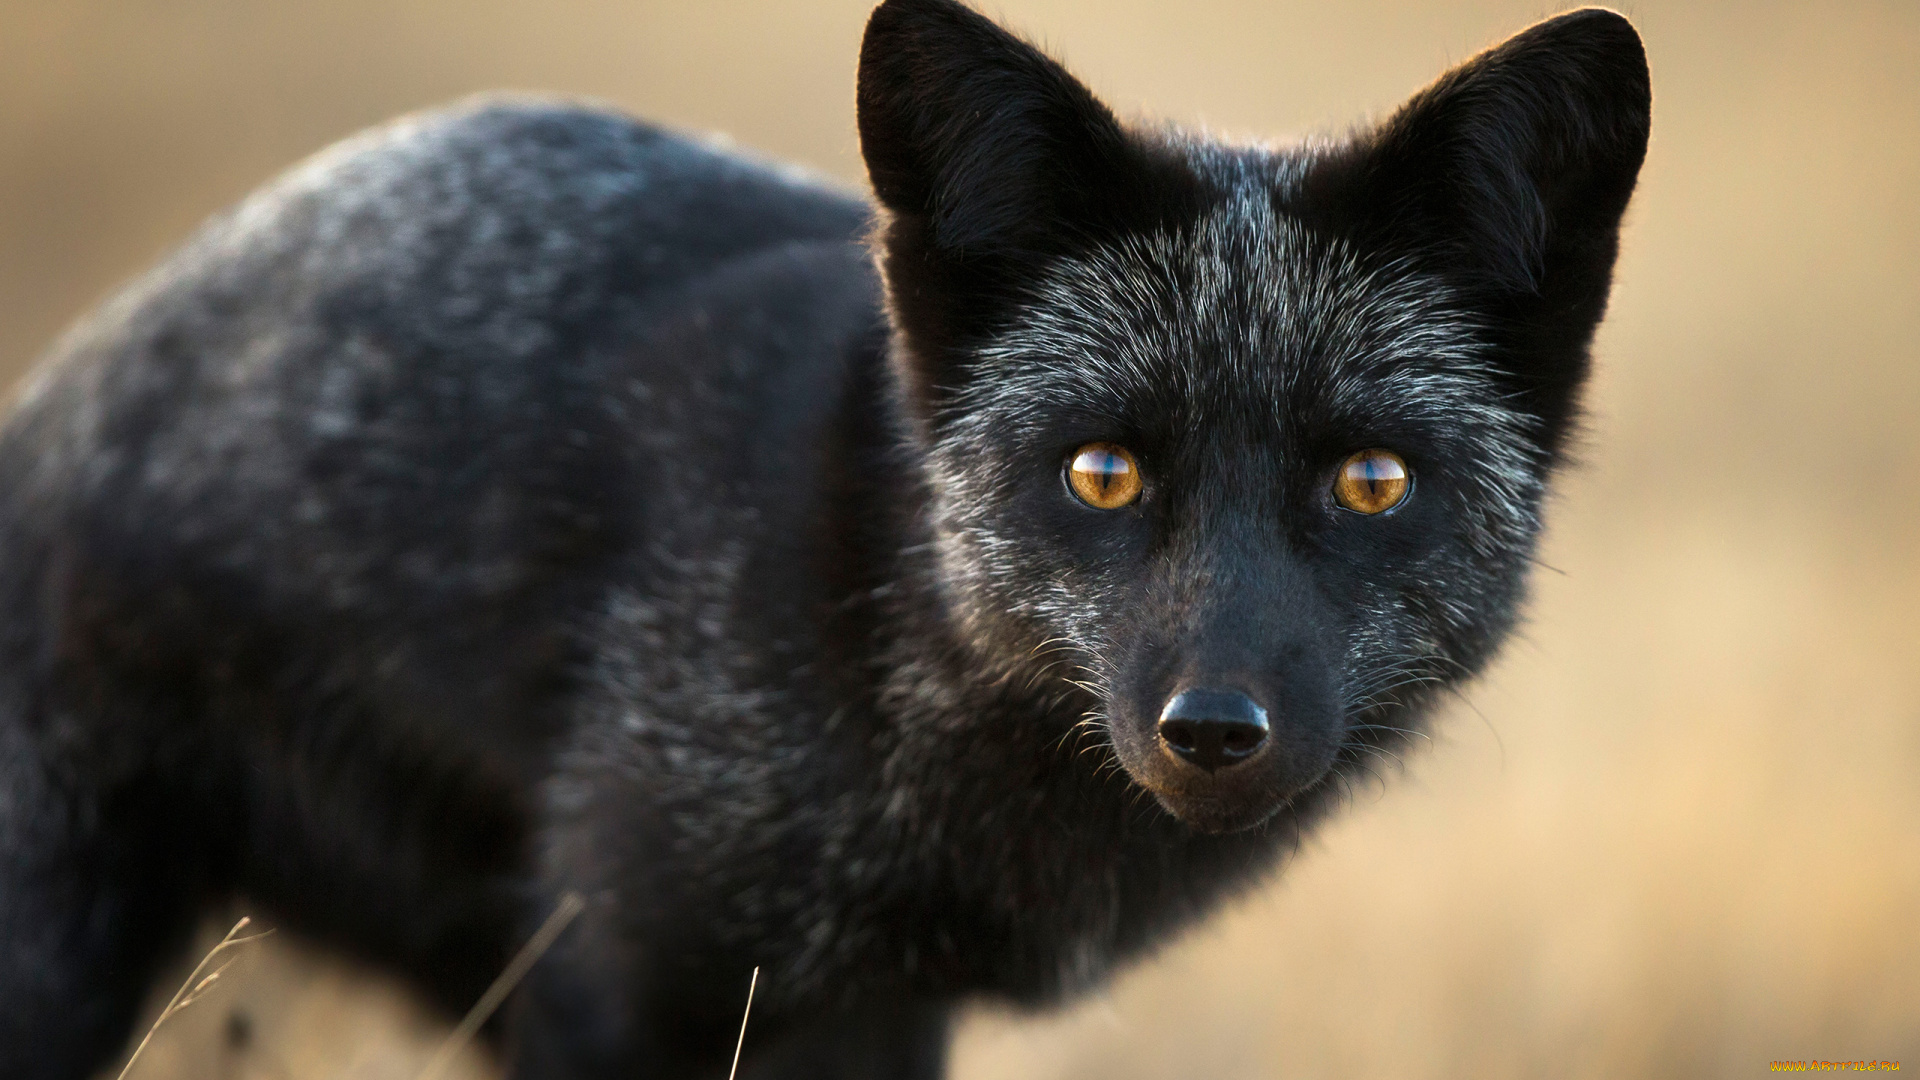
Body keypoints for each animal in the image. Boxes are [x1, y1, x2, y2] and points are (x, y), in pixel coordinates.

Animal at [0, 1, 1649, 1077]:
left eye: (1370, 484)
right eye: (1102, 474)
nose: (1214, 730)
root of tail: (59, 394)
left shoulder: (874, 1013)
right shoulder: (622, 975)